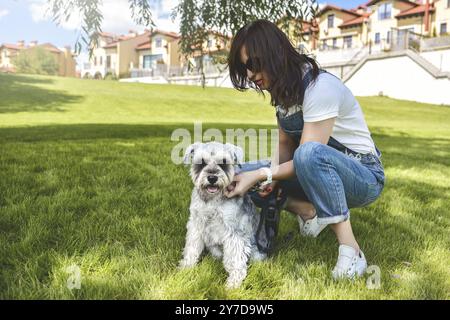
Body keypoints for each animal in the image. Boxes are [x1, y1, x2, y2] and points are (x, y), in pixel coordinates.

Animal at [178, 141, 266, 288]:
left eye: (224, 162)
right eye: (201, 162)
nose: (212, 178)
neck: (212, 200)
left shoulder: (234, 231)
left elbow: (235, 258)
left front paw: (233, 283)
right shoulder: (196, 224)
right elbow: (192, 247)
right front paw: (186, 267)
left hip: (255, 251)